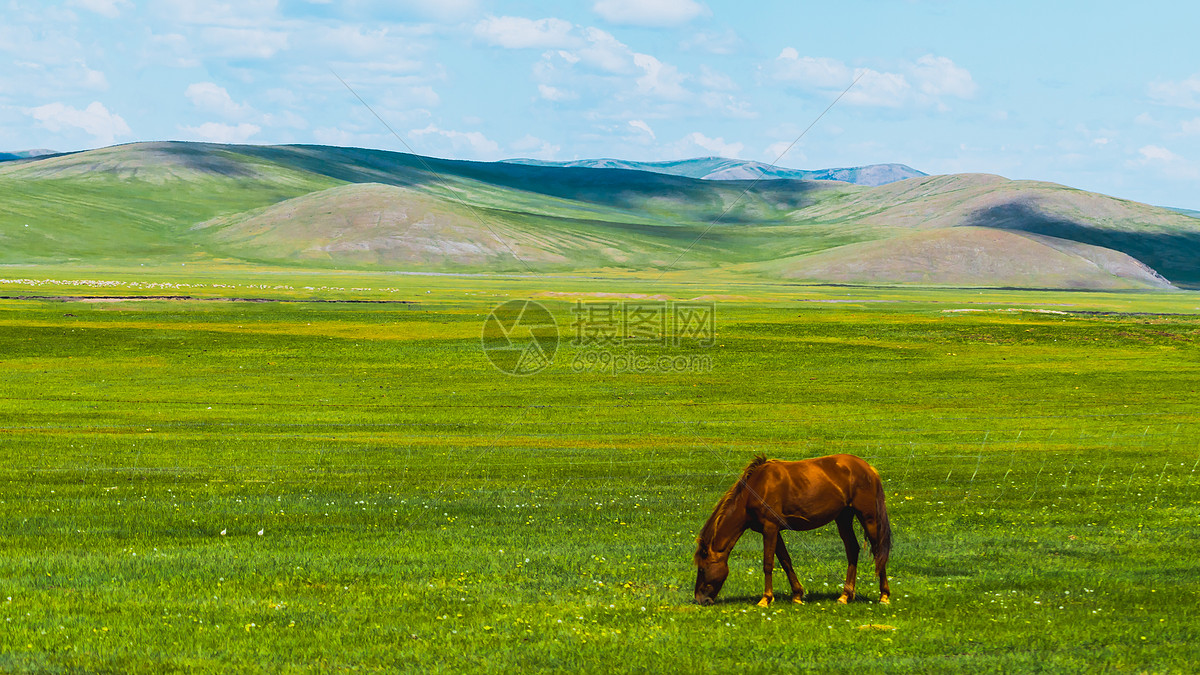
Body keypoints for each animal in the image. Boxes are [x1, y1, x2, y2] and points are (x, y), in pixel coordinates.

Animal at [696, 451, 892, 605]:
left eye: (702, 569)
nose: (700, 599)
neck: (756, 488)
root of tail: (869, 469)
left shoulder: (770, 528)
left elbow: (768, 564)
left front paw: (765, 599)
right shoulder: (773, 531)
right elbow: (785, 561)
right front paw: (797, 595)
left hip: (868, 517)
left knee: (877, 551)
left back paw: (884, 596)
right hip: (843, 517)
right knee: (852, 548)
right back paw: (845, 595)